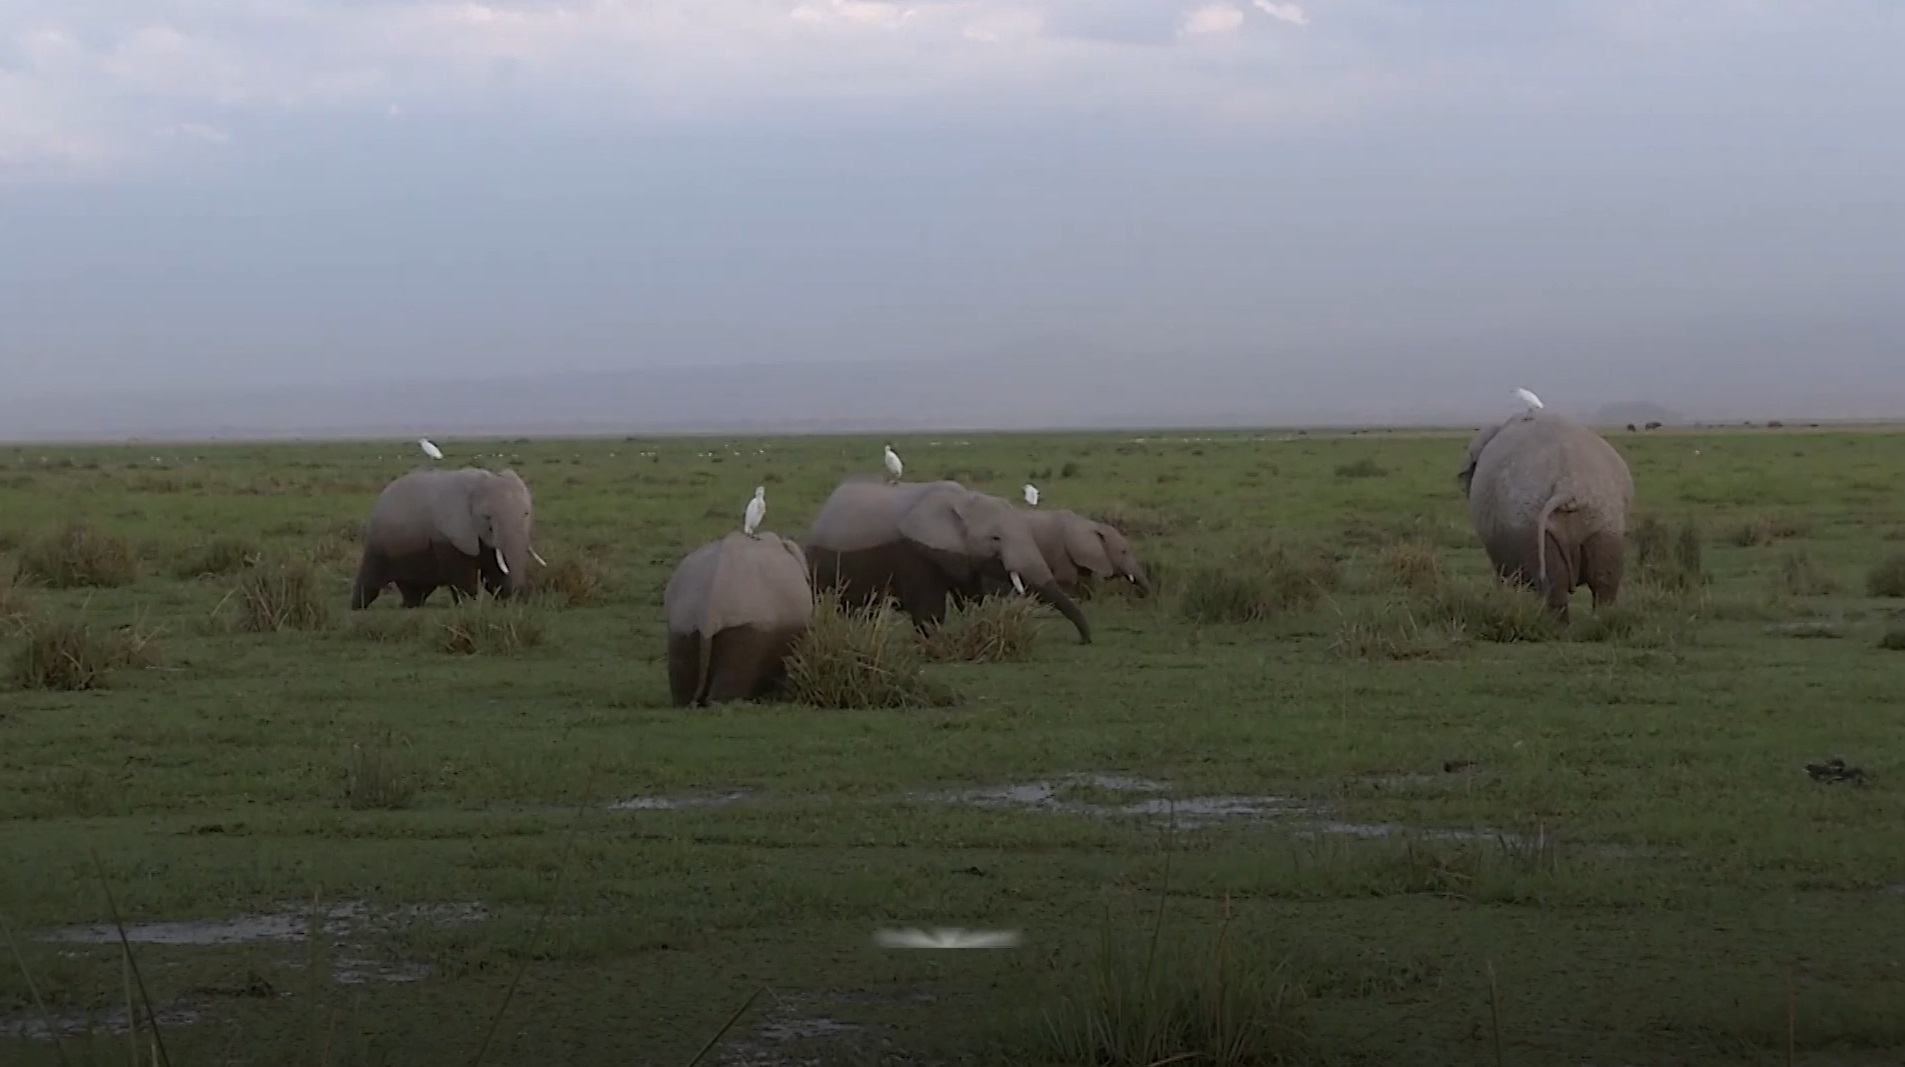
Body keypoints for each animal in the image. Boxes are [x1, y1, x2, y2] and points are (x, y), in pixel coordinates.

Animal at [350, 466, 548, 609]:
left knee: (416, 589)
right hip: (379, 541)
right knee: (371, 579)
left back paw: (411, 606)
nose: (521, 597)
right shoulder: (450, 534)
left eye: (526, 513)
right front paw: (469, 607)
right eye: (487, 518)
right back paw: (357, 608)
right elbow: (463, 576)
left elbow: (493, 575)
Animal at [800, 482, 1097, 647]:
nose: (1084, 640)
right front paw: (933, 642)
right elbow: (929, 610)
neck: (963, 502)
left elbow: (970, 598)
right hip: (819, 561)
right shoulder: (915, 553)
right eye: (995, 538)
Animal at [1447, 409, 1630, 624]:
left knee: (1553, 584)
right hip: (1603, 516)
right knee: (1603, 582)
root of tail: (1566, 483)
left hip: (1530, 525)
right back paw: (1599, 620)